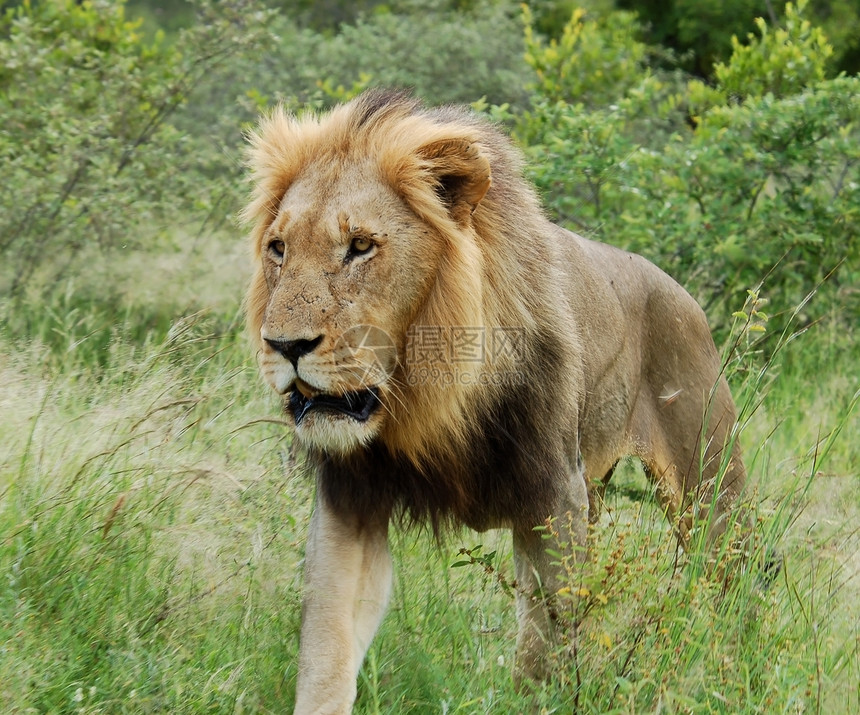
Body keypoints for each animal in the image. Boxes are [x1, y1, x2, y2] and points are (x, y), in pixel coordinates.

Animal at [242, 91, 744, 715]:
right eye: (278, 248)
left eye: (360, 246)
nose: (285, 346)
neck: (428, 400)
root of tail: (687, 297)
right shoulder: (350, 501)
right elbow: (326, 647)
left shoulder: (553, 497)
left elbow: (544, 647)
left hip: (709, 492)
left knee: (737, 585)